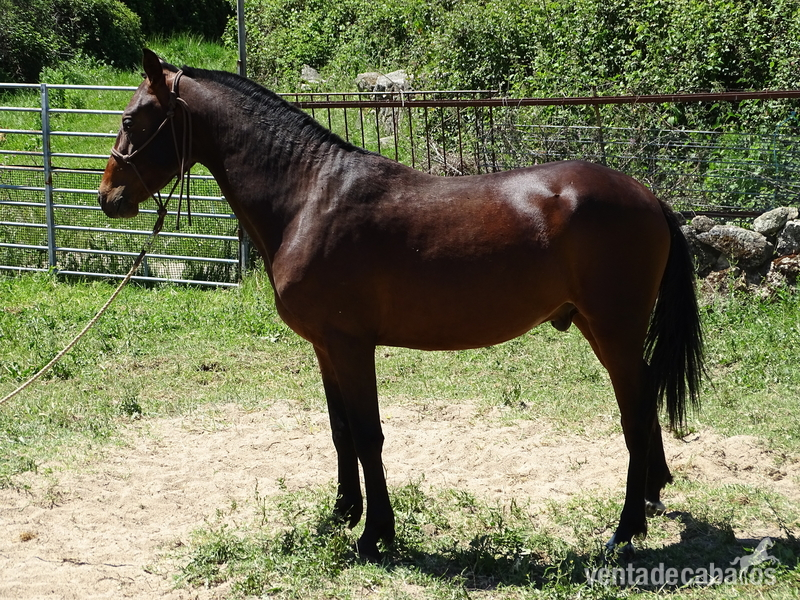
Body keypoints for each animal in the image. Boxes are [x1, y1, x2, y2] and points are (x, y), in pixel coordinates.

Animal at [98, 49, 704, 560]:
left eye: (131, 120)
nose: (109, 198)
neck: (309, 197)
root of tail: (648, 196)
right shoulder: (326, 348)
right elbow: (341, 429)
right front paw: (343, 513)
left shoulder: (351, 346)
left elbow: (369, 435)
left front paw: (375, 535)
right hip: (598, 329)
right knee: (645, 397)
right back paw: (652, 494)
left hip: (614, 328)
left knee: (633, 414)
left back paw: (624, 533)